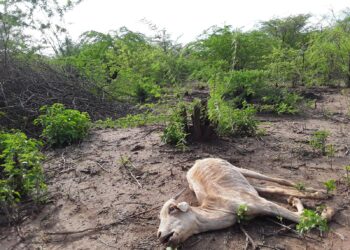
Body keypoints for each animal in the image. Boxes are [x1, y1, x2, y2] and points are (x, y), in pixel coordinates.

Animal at [158, 158, 334, 246]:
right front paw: (296, 201)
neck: (219, 207)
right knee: (268, 187)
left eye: (171, 210)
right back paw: (305, 196)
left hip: (239, 168)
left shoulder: (261, 204)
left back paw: (321, 192)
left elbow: (302, 218)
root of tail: (196, 162)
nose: (159, 235)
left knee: (279, 180)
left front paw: (328, 211)